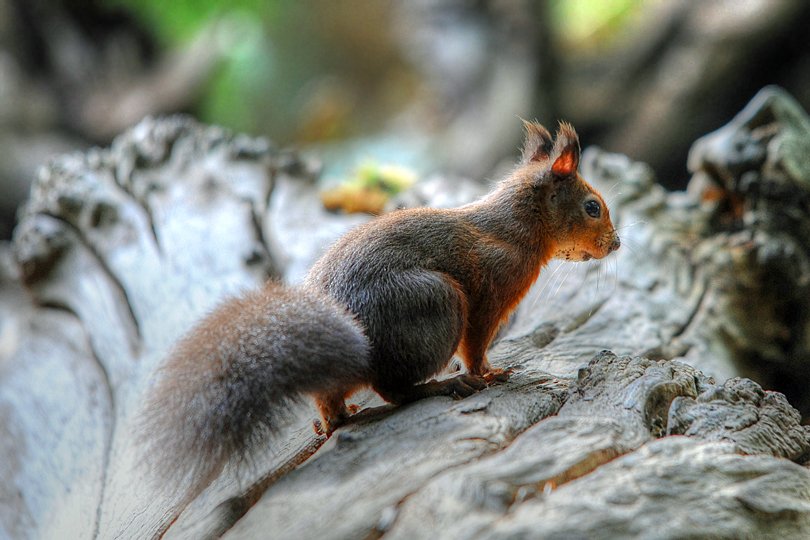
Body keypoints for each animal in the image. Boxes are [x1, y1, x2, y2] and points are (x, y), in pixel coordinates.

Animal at [139, 120, 620, 496]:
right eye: (592, 207)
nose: (616, 244)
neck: (515, 228)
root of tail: (351, 348)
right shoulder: (488, 293)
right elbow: (476, 346)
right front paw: (487, 373)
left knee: (333, 403)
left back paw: (338, 417)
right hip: (438, 302)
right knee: (393, 389)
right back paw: (440, 386)